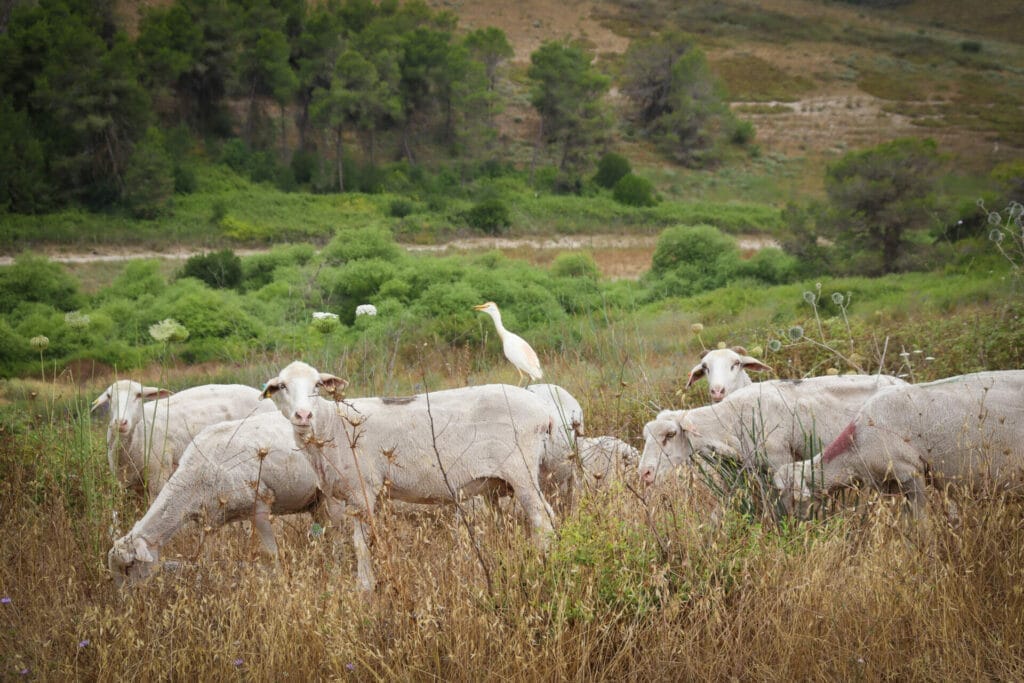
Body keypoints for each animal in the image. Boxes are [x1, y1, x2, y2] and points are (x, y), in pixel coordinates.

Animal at [260, 360, 557, 589]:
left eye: (316, 386)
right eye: (282, 386)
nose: (303, 415)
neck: (331, 425)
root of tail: (544, 412)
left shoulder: (362, 489)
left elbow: (360, 544)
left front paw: (364, 588)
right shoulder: (374, 494)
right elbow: (375, 539)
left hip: (522, 471)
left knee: (542, 520)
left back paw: (542, 564)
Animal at [770, 370, 1024, 516]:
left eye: (787, 492)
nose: (785, 524)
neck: (854, 446)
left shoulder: (910, 472)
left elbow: (920, 523)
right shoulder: (889, 484)